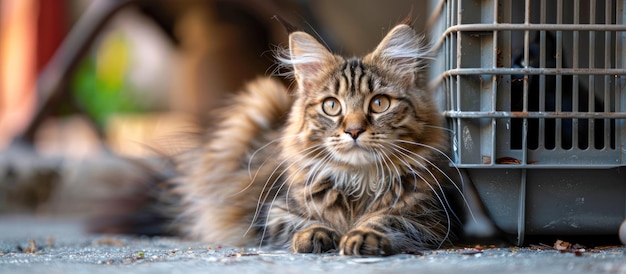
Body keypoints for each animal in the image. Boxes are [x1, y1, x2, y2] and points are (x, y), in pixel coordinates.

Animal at [172, 22, 464, 256]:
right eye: (332, 106)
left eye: (379, 103)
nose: (354, 130)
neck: (358, 180)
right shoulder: (273, 212)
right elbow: (302, 222)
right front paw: (316, 234)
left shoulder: (430, 219)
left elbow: (386, 219)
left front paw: (362, 234)